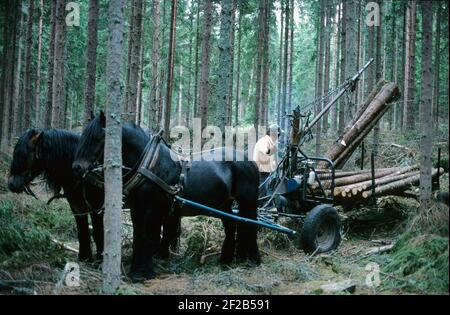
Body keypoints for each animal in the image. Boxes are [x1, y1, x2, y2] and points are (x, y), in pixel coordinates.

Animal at [7, 128, 104, 264]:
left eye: (22, 155)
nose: (11, 184)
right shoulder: (77, 207)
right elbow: (82, 231)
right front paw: (85, 258)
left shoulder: (97, 208)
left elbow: (98, 233)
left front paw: (100, 261)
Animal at [72, 112, 262, 282]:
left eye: (98, 138)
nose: (76, 168)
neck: (151, 164)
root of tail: (249, 160)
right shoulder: (137, 208)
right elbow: (138, 236)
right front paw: (136, 271)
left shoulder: (153, 208)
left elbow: (148, 237)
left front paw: (144, 272)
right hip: (224, 204)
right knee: (231, 226)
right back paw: (226, 260)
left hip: (248, 202)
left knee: (251, 225)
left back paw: (253, 259)